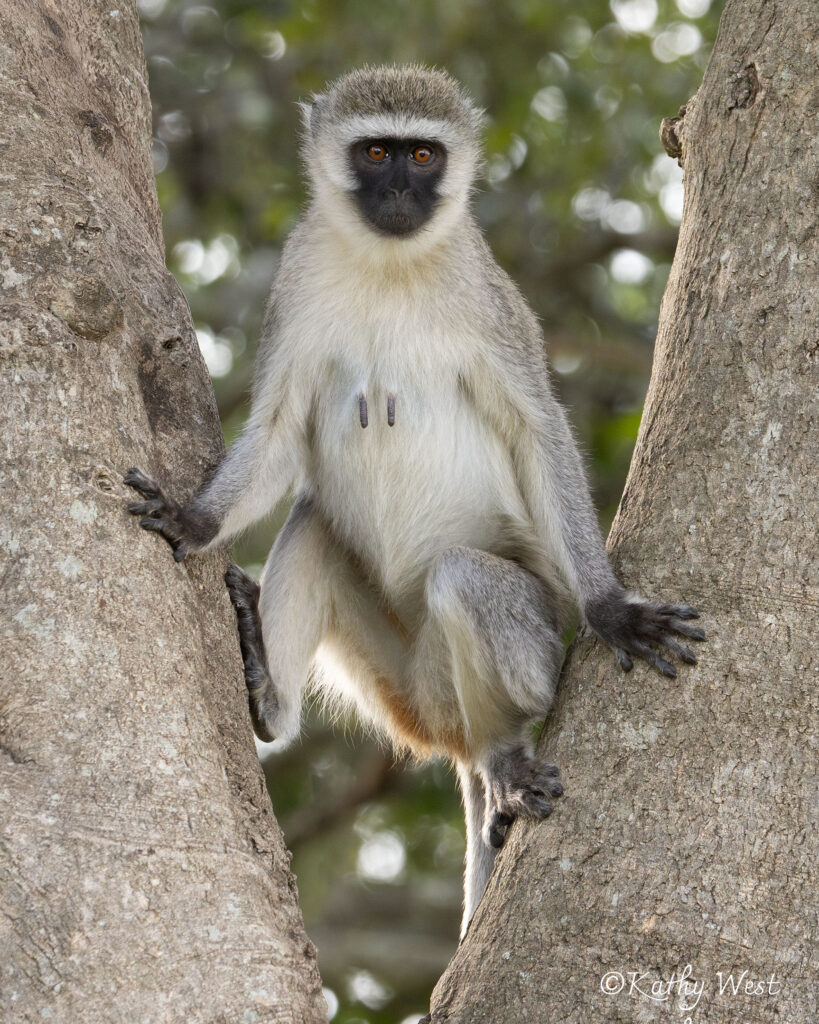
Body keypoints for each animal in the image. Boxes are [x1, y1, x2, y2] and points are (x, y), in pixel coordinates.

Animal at [125, 64, 704, 940]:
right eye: (375, 152)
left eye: (423, 155)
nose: (399, 189)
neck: (389, 265)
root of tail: (450, 733)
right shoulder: (297, 279)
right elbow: (277, 428)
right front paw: (192, 521)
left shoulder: (488, 297)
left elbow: (537, 431)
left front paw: (610, 608)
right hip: (397, 684)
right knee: (312, 524)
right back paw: (271, 698)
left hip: (508, 652)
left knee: (466, 582)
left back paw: (504, 755)